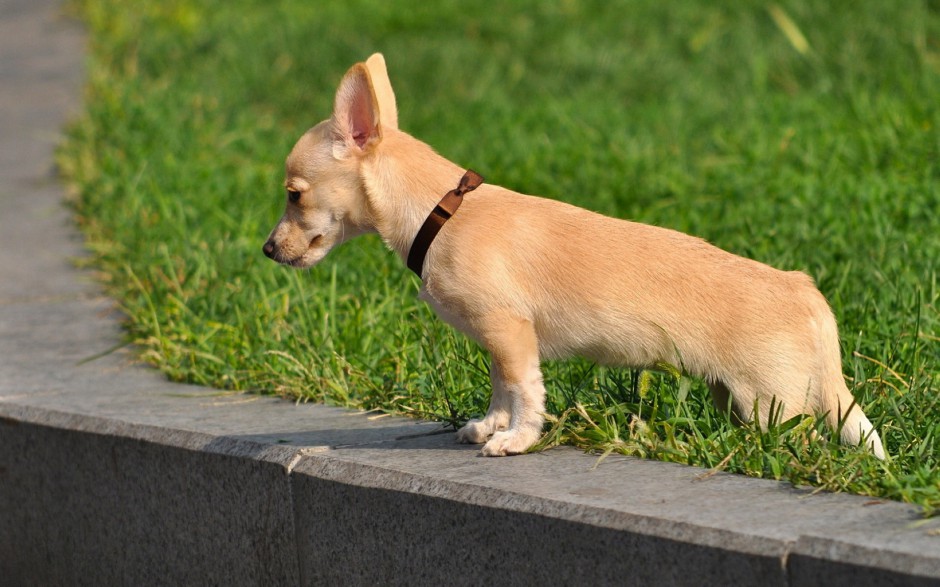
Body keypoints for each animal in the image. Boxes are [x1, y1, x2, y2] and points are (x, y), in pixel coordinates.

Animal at [260, 54, 884, 460]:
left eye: (293, 195)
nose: (267, 249)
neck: (441, 213)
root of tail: (806, 293)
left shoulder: (508, 329)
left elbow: (525, 390)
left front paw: (516, 440)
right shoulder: (498, 339)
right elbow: (501, 387)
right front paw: (489, 426)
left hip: (769, 404)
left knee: (807, 443)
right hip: (738, 398)